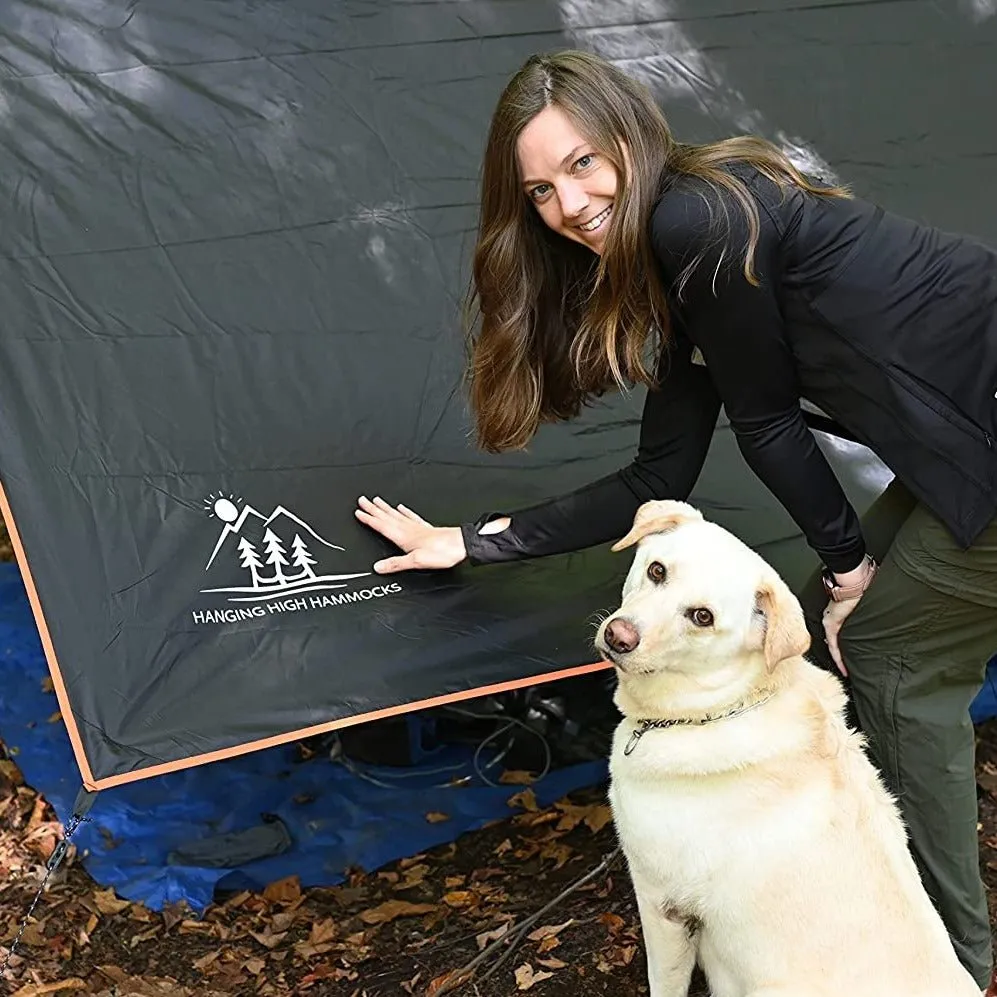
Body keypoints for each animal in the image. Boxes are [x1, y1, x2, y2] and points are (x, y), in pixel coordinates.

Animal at [592, 498, 980, 996]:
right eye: (657, 570)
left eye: (702, 617)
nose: (618, 636)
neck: (725, 704)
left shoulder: (662, 902)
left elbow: (663, 983)